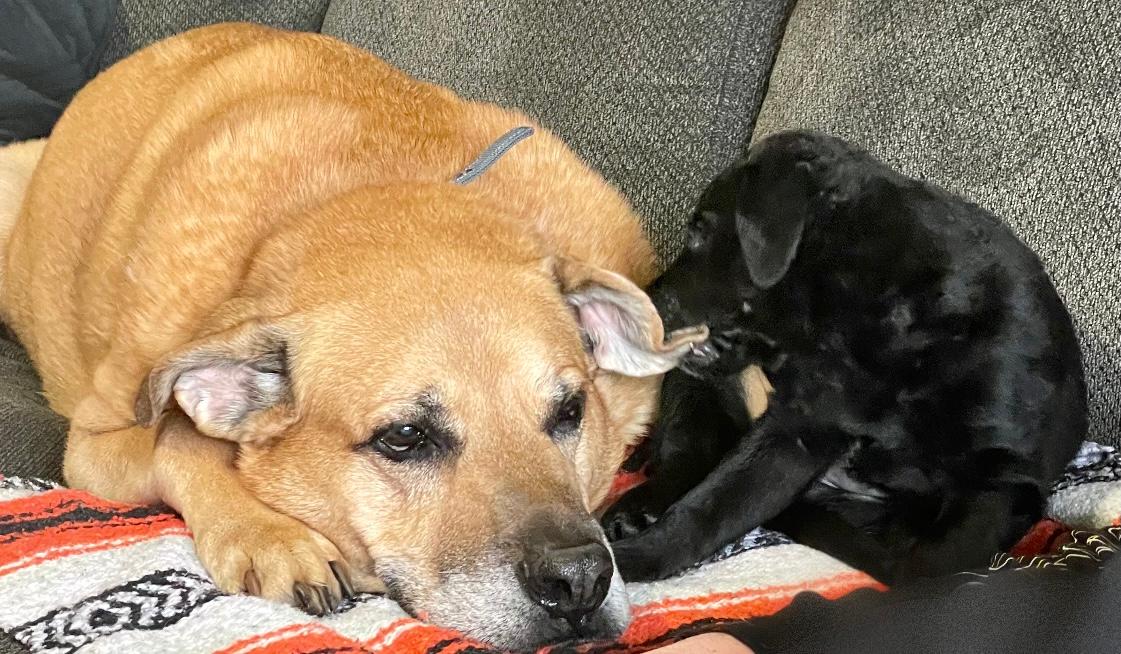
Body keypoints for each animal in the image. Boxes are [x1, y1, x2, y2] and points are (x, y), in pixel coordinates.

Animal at [0, 24, 712, 649]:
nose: (580, 582)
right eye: (405, 438)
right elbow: (178, 437)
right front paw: (270, 536)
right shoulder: (93, 444)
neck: (365, 190)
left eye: (570, 412)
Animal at [601, 130, 1087, 584]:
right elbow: (706, 509)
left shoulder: (999, 487)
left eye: (699, 232)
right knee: (689, 457)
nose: (644, 298)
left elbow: (914, 566)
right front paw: (629, 563)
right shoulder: (797, 430)